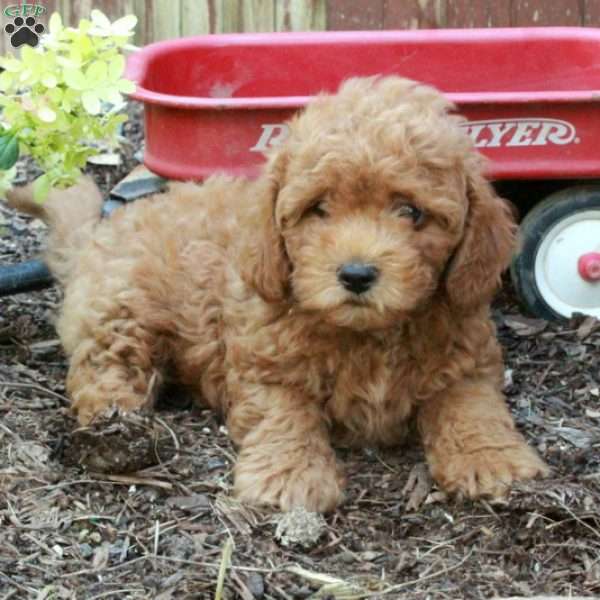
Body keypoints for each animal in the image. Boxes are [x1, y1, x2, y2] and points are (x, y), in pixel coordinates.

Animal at [7, 76, 548, 510]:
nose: (356, 274)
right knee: (102, 366)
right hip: (122, 308)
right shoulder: (263, 367)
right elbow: (285, 416)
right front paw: (290, 476)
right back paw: (115, 420)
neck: (369, 335)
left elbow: (472, 405)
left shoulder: (467, 360)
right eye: (318, 209)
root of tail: (100, 230)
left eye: (411, 212)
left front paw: (493, 460)